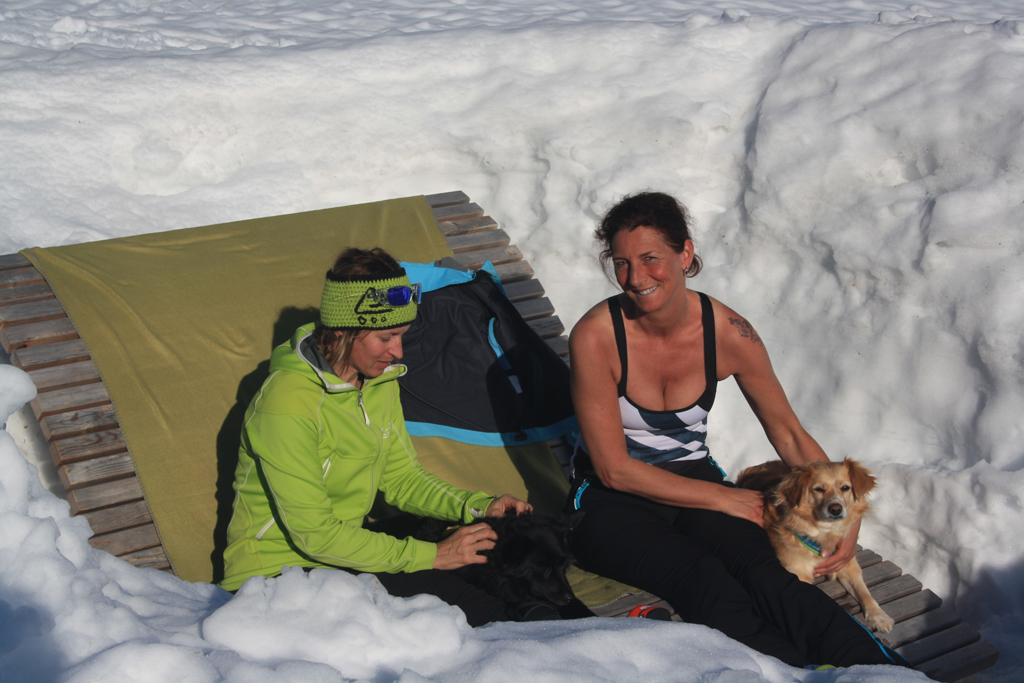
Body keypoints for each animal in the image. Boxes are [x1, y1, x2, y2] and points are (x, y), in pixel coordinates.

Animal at [737, 459, 894, 632]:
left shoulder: (847, 563)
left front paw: (878, 616)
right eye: (819, 489)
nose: (835, 509)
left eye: (845, 488)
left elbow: (864, 591)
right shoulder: (799, 573)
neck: (824, 533)